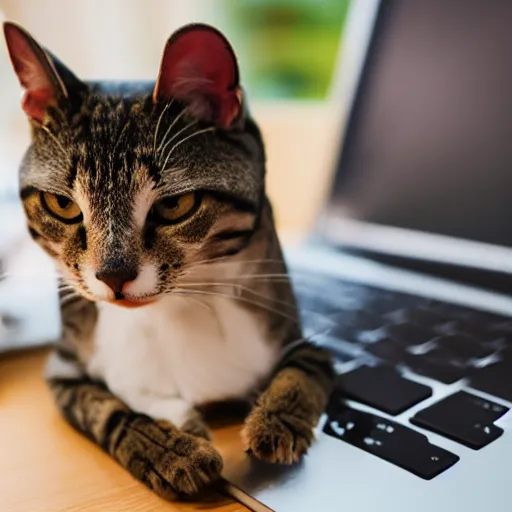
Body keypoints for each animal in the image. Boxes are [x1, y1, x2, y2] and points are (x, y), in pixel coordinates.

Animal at [3, 22, 336, 498]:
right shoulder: (64, 370)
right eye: (62, 205)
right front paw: (172, 449)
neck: (182, 306)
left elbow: (305, 370)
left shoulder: (304, 338)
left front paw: (274, 424)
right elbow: (108, 410)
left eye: (175, 205)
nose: (113, 276)